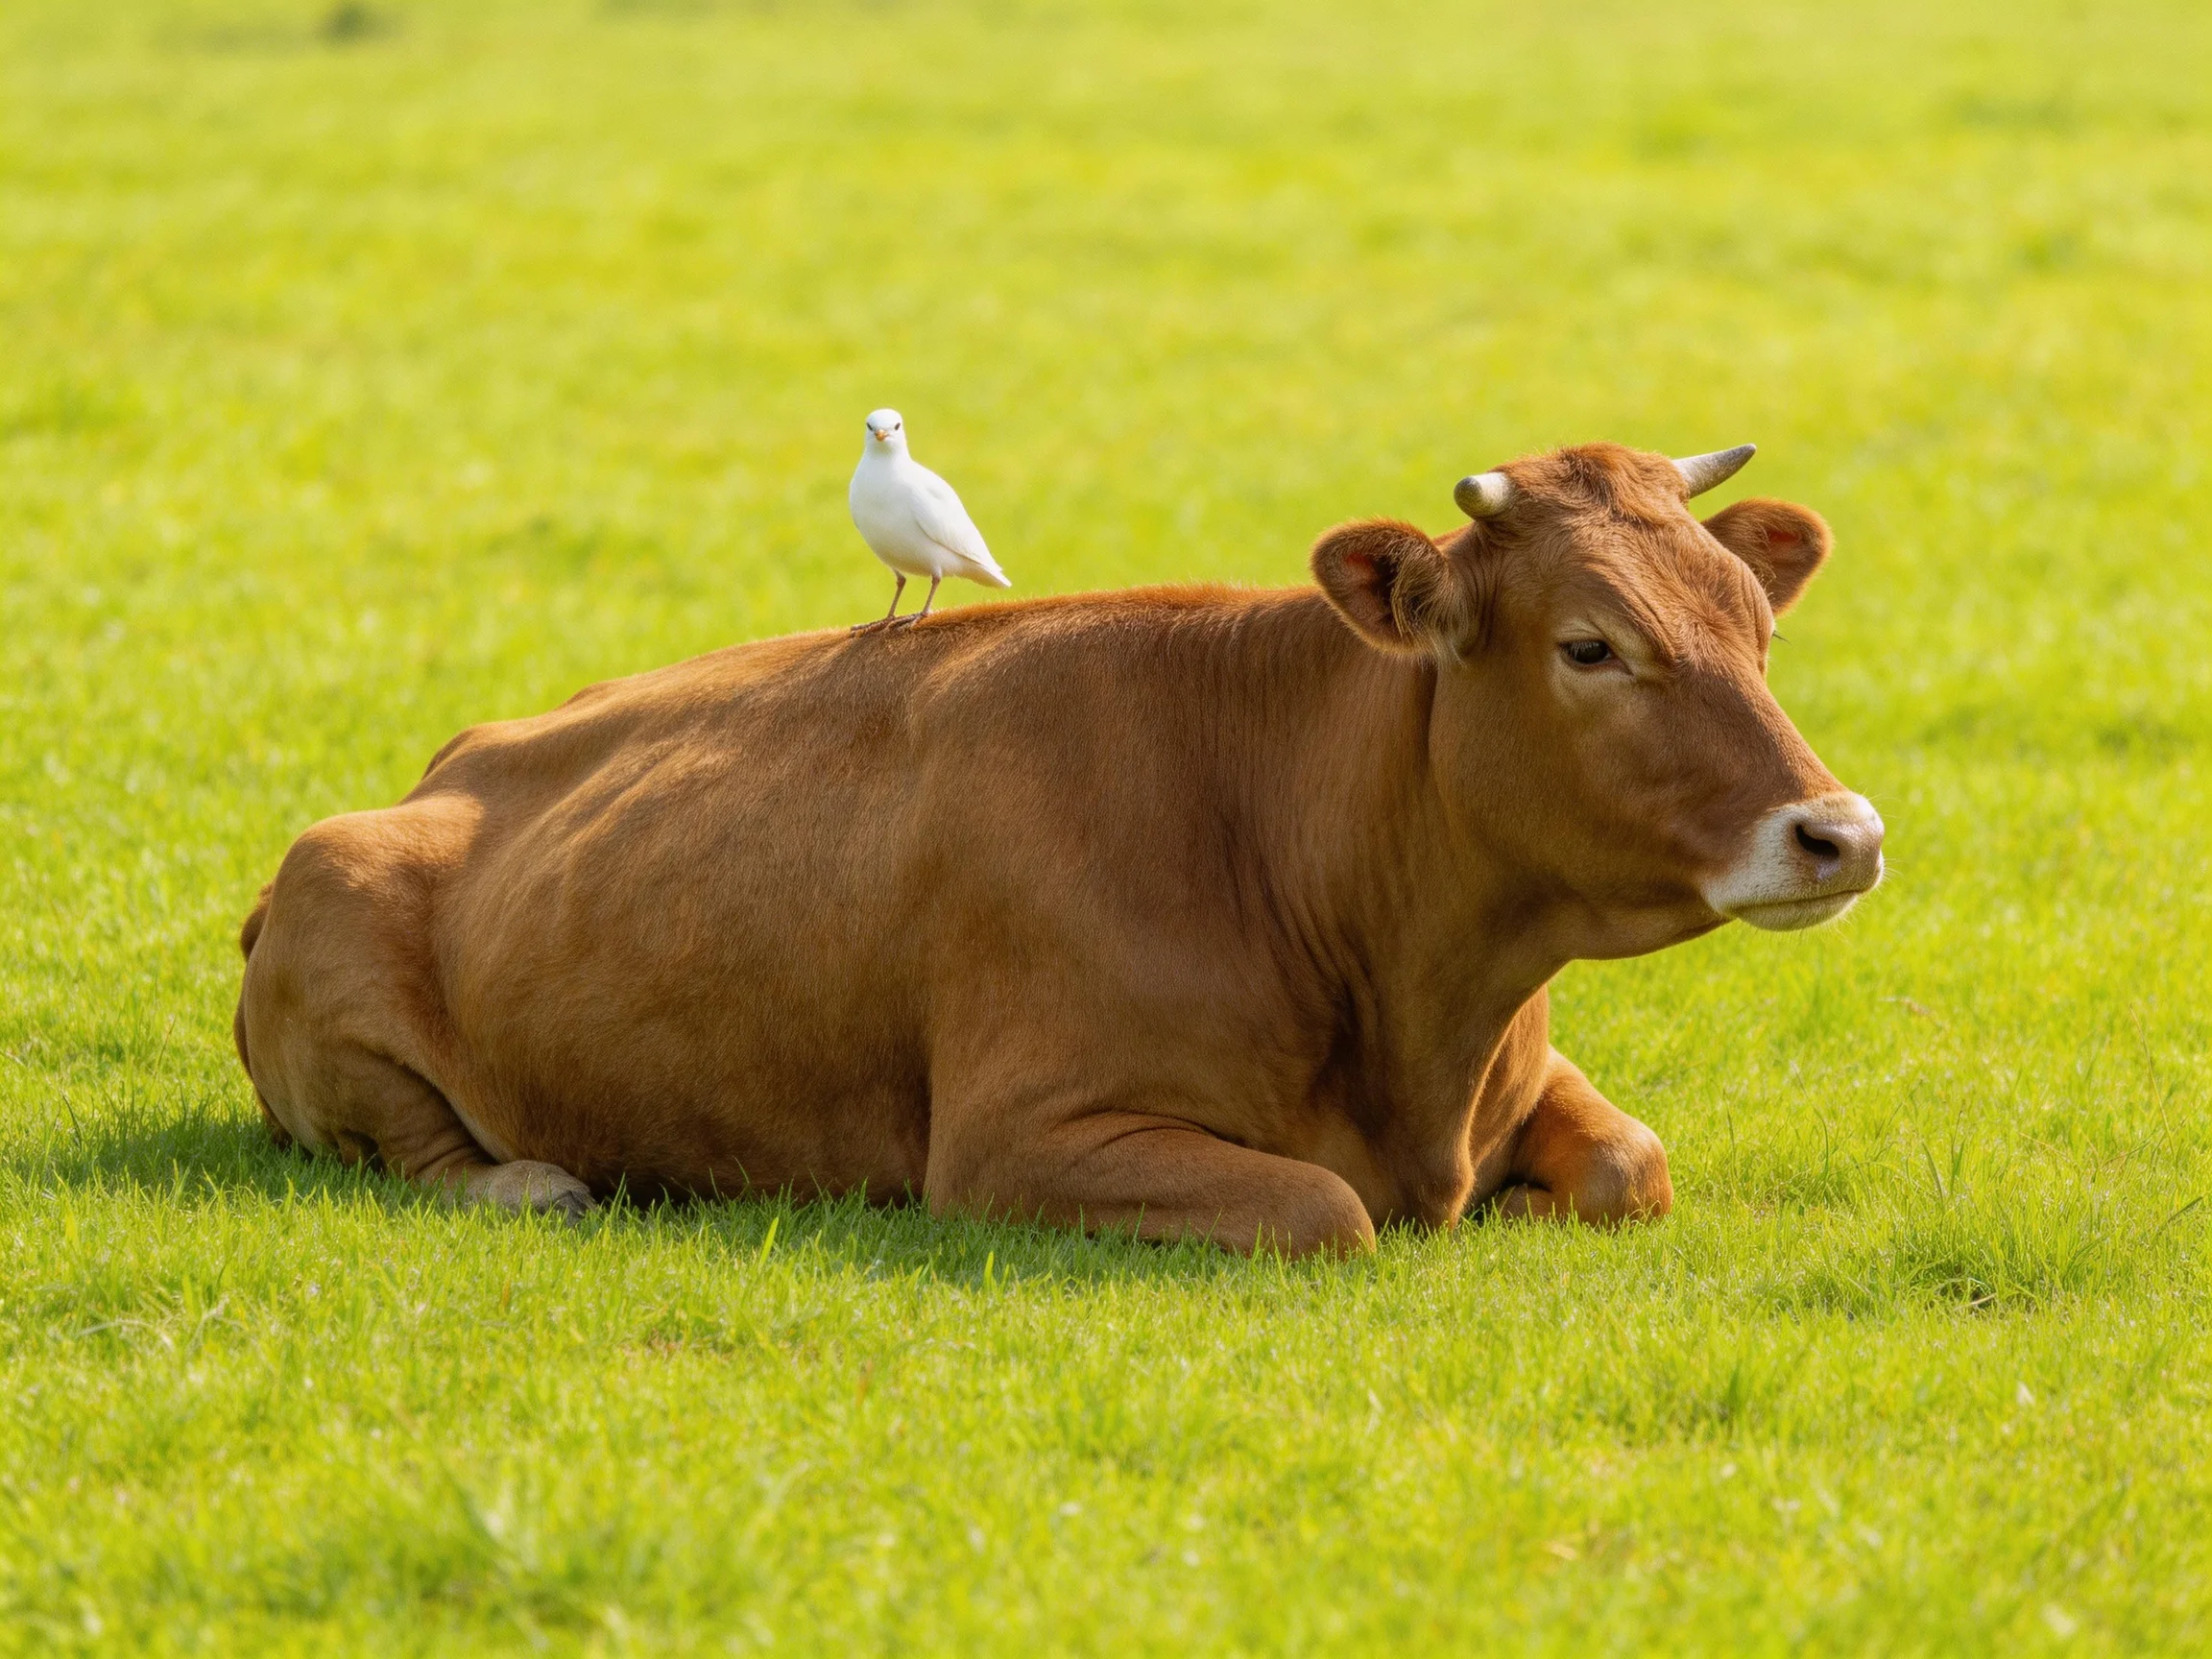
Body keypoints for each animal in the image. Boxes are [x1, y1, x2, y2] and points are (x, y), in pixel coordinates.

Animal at [233, 441, 1882, 1256]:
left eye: (1754, 618)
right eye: (1591, 644)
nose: (1841, 833)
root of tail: (448, 762)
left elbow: (1631, 1165)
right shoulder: (1017, 1141)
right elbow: (1325, 1206)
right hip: (342, 929)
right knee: (421, 1150)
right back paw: (535, 1184)